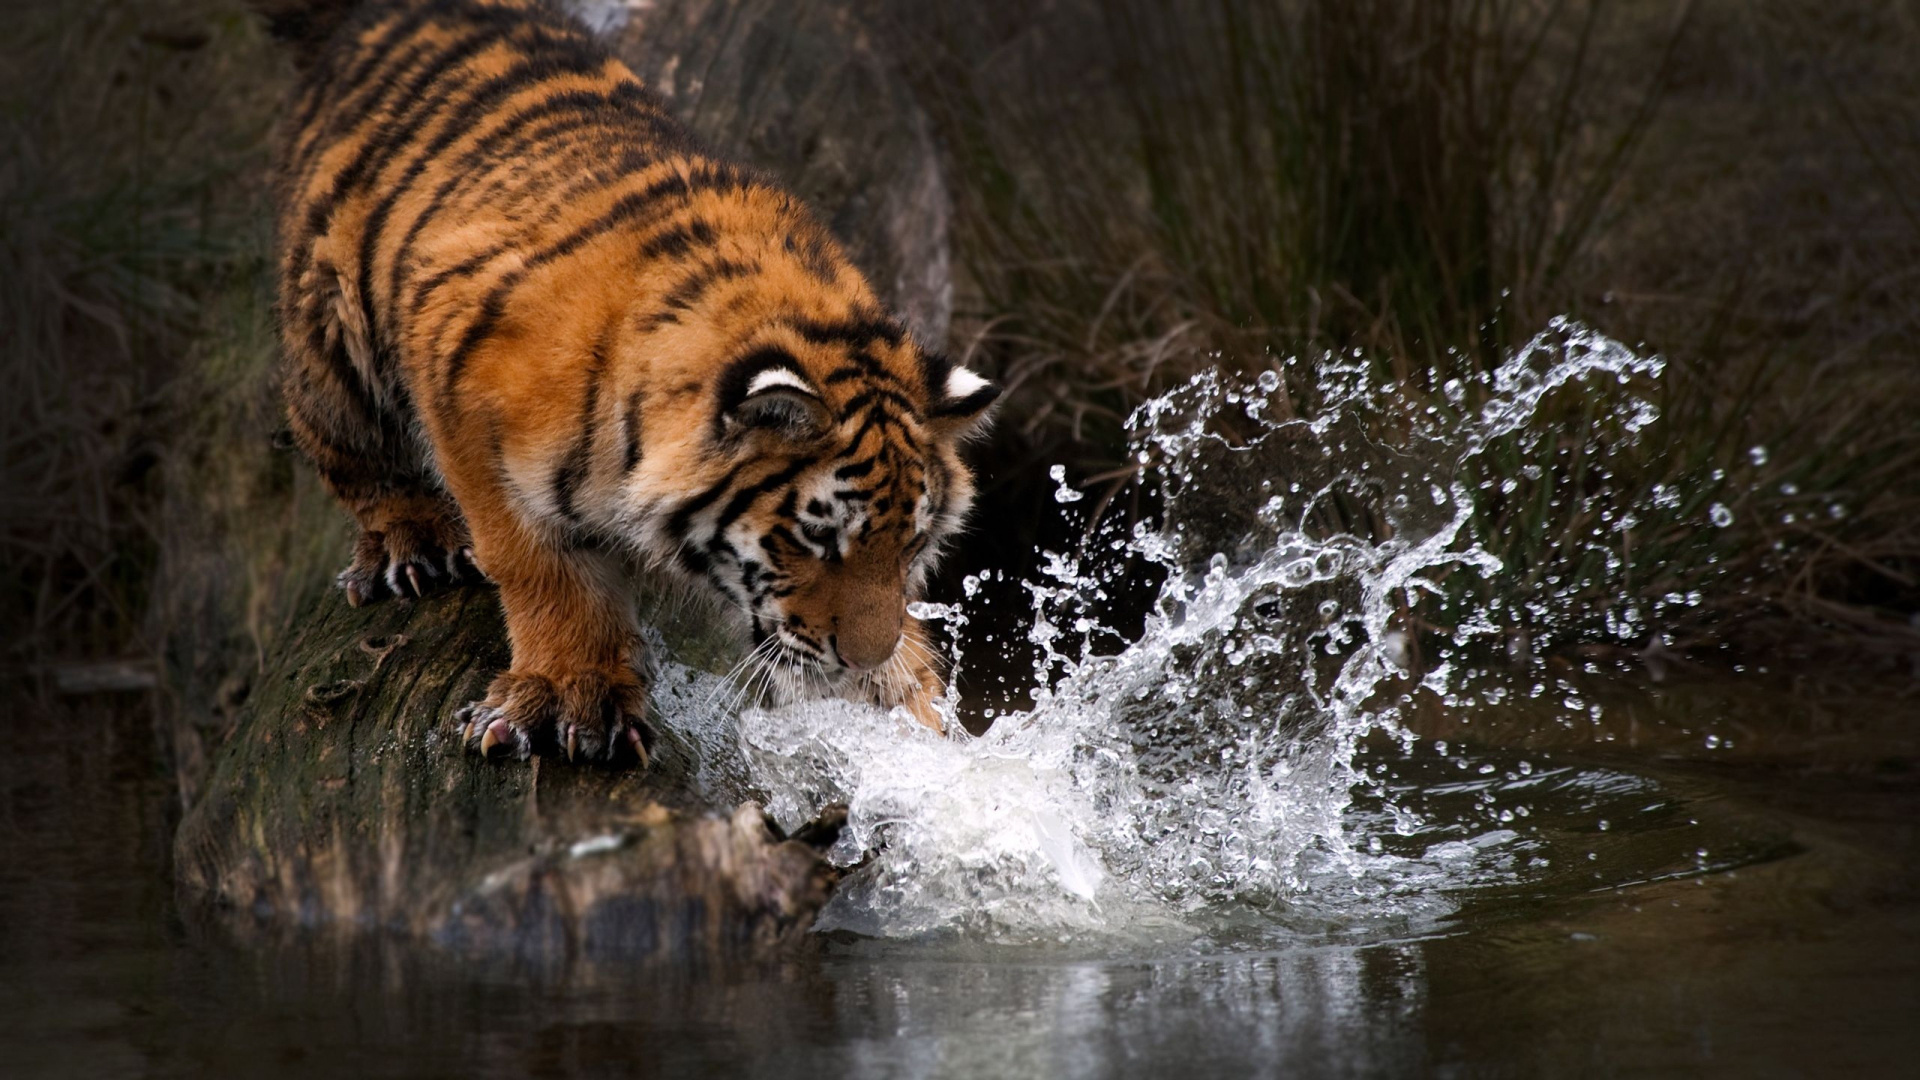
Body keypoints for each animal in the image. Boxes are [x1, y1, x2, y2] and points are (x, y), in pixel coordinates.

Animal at [253, 0, 998, 764]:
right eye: (817, 539)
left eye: (910, 544)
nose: (863, 657)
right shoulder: (465, 396)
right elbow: (540, 567)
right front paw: (568, 694)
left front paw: (916, 710)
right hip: (334, 328)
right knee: (342, 443)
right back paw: (413, 540)